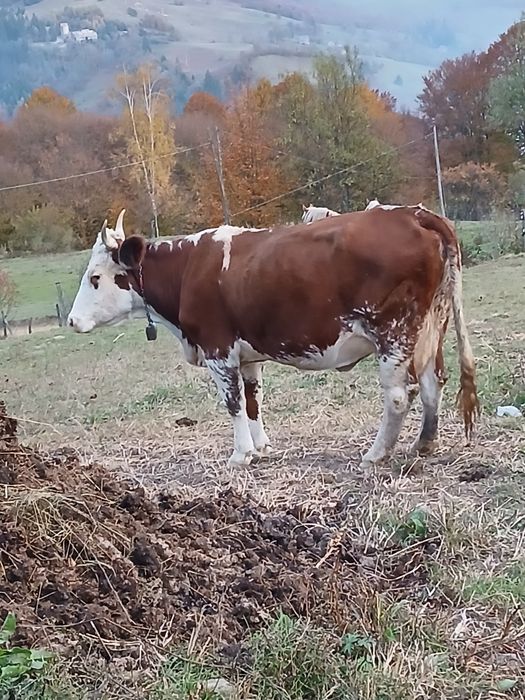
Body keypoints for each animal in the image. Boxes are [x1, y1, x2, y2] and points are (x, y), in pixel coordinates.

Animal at [68, 205, 479, 469]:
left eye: (95, 278)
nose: (71, 320)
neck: (188, 269)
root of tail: (412, 213)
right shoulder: (248, 356)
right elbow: (253, 401)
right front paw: (261, 446)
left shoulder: (218, 349)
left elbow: (233, 403)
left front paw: (241, 455)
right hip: (429, 330)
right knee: (432, 383)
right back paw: (425, 443)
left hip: (392, 334)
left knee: (397, 397)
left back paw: (376, 454)